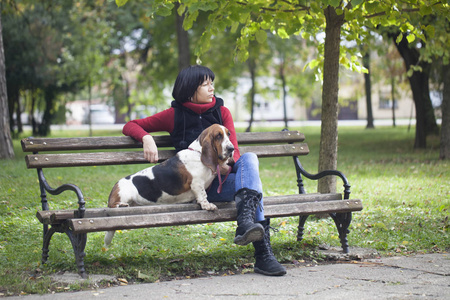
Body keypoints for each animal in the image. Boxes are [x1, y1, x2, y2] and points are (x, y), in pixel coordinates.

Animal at [103, 124, 234, 246]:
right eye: (218, 136)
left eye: (228, 134)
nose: (232, 148)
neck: (198, 153)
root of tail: (114, 188)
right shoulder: (197, 183)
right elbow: (203, 195)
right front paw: (208, 205)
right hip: (123, 194)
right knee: (113, 206)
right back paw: (122, 205)